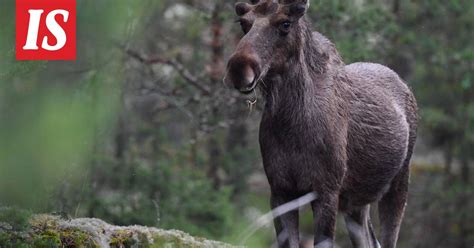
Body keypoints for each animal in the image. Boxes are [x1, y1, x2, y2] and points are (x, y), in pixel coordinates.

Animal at [226, 0, 418, 248]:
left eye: (285, 23)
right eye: (243, 23)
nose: (239, 68)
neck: (290, 126)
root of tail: (404, 85)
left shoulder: (327, 191)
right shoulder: (280, 190)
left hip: (399, 183)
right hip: (356, 203)